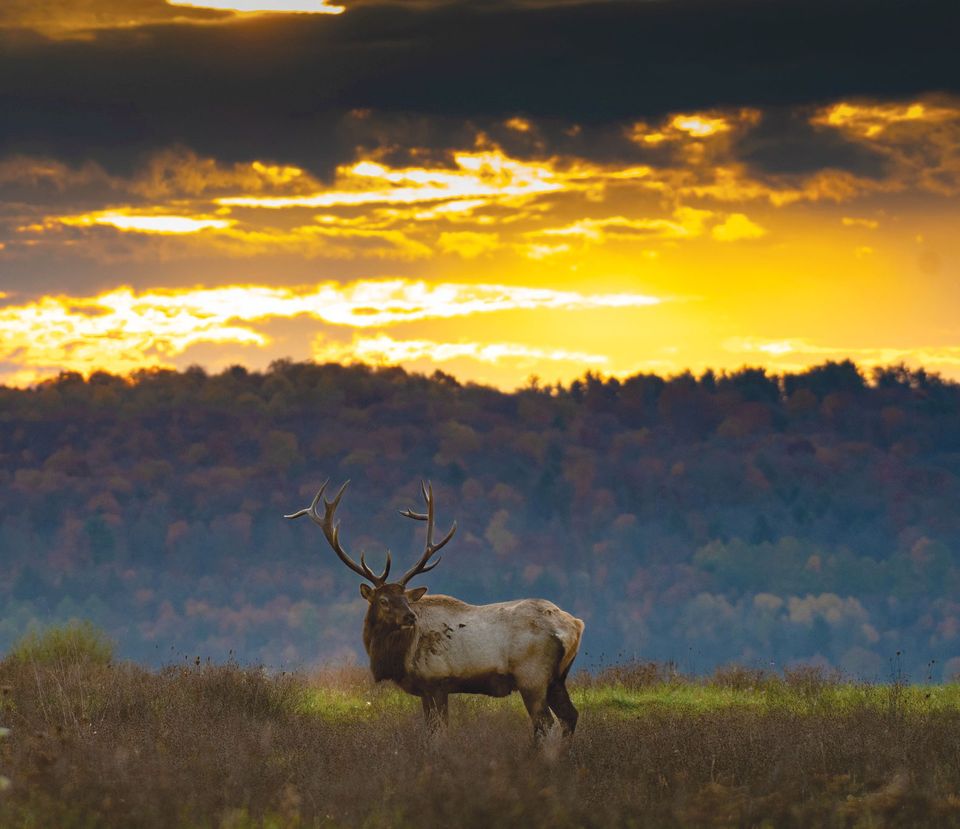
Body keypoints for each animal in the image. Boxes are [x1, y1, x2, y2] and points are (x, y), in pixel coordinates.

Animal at [284, 480, 584, 739]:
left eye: (406, 598)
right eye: (384, 600)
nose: (410, 616)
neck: (398, 658)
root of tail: (574, 627)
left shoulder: (437, 682)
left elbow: (437, 735)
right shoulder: (428, 691)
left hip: (531, 676)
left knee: (545, 724)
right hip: (557, 679)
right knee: (570, 716)